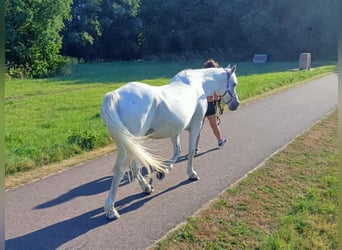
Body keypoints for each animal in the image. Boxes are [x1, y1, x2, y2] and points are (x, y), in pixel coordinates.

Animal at [100, 64, 239, 219]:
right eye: (234, 84)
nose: (236, 104)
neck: (198, 84)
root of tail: (115, 95)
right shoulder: (195, 126)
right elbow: (190, 151)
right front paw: (191, 174)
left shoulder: (175, 131)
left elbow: (177, 151)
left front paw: (163, 171)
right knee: (121, 170)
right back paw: (111, 210)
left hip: (129, 144)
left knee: (133, 167)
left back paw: (146, 187)